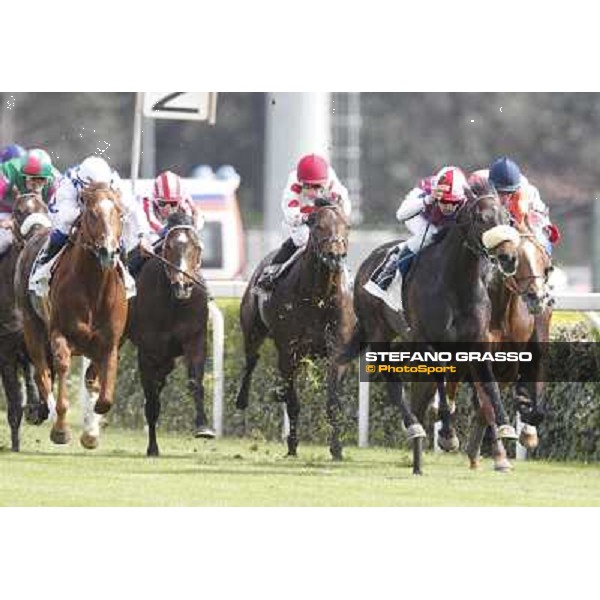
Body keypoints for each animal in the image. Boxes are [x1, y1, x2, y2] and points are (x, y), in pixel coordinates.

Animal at [15, 183, 127, 450]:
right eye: (92, 214)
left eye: (119, 213)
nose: (108, 251)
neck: (94, 287)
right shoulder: (59, 334)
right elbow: (62, 368)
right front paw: (61, 429)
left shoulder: (109, 343)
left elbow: (103, 396)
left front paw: (91, 432)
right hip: (32, 326)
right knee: (42, 373)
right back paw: (50, 416)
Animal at [125, 211, 214, 454]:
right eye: (168, 248)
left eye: (197, 247)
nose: (183, 286)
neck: (174, 304)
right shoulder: (148, 351)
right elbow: (152, 400)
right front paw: (152, 447)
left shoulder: (196, 339)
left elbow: (195, 383)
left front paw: (203, 427)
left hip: (168, 358)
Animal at [236, 199, 356, 458]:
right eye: (318, 226)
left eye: (347, 226)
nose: (335, 255)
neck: (318, 296)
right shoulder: (288, 351)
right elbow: (293, 402)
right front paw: (292, 445)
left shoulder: (338, 350)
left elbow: (333, 402)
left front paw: (337, 448)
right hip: (252, 329)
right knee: (251, 359)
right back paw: (242, 399)